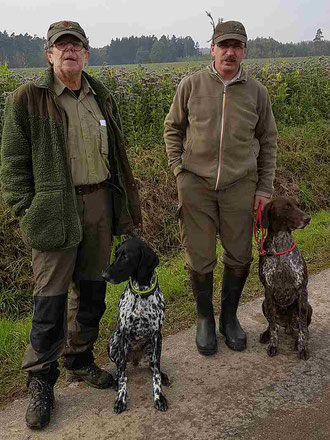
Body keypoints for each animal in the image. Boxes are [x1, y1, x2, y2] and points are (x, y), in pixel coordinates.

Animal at [102, 237, 169, 412]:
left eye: (126, 257)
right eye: (116, 254)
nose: (103, 275)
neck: (141, 293)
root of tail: (135, 359)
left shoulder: (157, 334)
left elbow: (156, 374)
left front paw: (159, 397)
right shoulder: (123, 334)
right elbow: (123, 376)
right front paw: (121, 398)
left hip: (154, 346)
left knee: (153, 364)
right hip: (114, 342)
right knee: (120, 366)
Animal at [260, 197, 314, 360]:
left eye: (298, 205)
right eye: (287, 207)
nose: (308, 218)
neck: (281, 246)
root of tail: (288, 325)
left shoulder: (302, 290)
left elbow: (303, 327)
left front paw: (303, 347)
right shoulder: (268, 291)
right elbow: (273, 327)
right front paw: (273, 344)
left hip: (308, 307)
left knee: (303, 326)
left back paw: (298, 340)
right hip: (264, 304)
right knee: (272, 323)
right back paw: (266, 334)